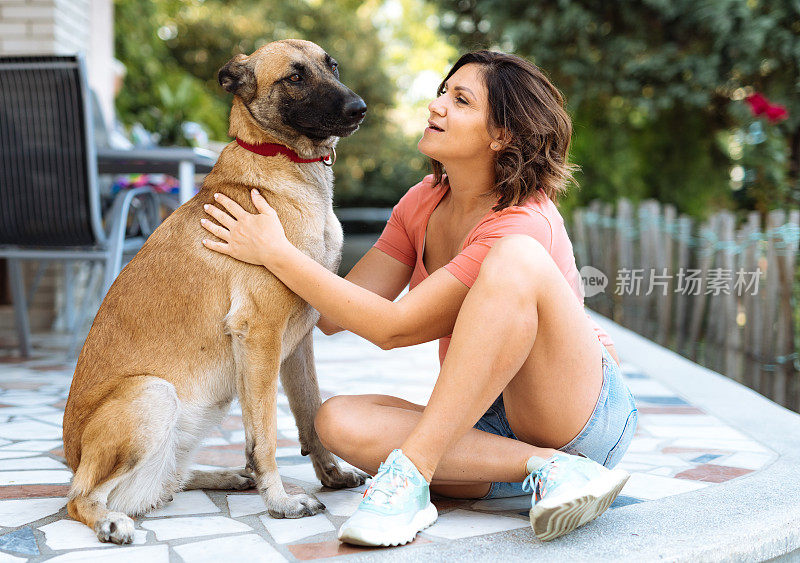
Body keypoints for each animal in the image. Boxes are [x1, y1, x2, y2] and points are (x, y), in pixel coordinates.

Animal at [62, 38, 368, 540]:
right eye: (295, 77)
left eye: (333, 67)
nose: (359, 107)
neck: (280, 160)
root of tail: (72, 460)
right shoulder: (260, 334)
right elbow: (265, 437)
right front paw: (280, 502)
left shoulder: (298, 342)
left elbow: (310, 414)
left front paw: (331, 474)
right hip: (153, 395)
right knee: (80, 498)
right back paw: (109, 520)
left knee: (172, 479)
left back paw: (226, 476)